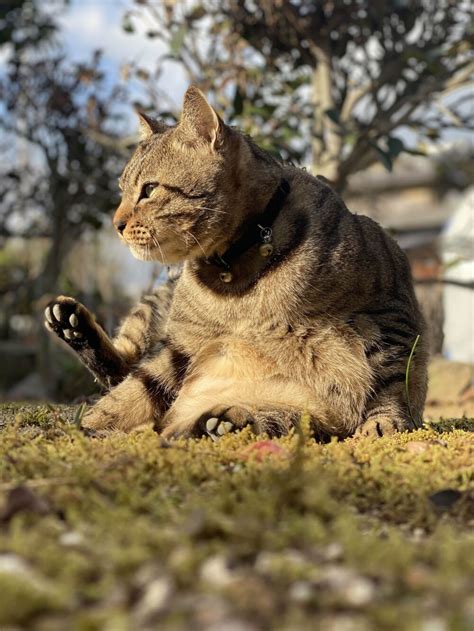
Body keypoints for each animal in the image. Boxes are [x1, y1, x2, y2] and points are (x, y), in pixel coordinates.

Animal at [44, 85, 430, 440]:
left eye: (149, 190)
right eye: (122, 191)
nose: (116, 223)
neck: (234, 275)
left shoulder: (387, 308)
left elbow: (391, 377)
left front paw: (385, 422)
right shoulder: (182, 345)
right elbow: (132, 392)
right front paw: (80, 428)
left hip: (302, 414)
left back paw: (225, 421)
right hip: (158, 304)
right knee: (126, 368)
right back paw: (73, 326)